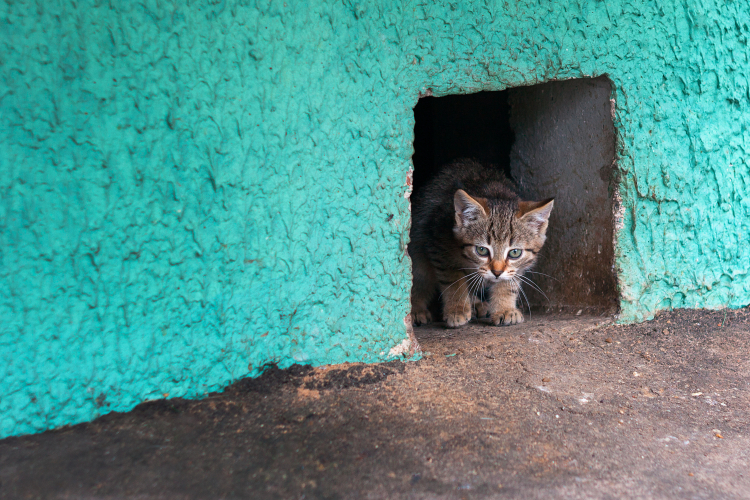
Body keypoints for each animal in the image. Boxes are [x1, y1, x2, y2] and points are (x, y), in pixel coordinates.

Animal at [408, 159, 556, 328]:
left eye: (515, 253)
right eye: (482, 250)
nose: (497, 272)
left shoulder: (517, 267)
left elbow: (509, 283)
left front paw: (504, 308)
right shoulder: (438, 245)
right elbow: (453, 280)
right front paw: (457, 309)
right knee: (419, 278)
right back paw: (416, 310)